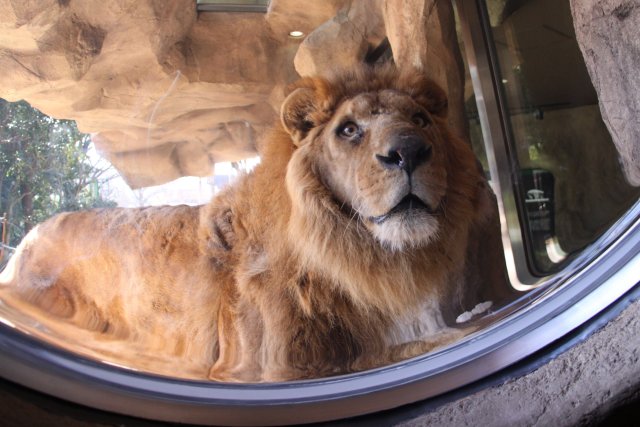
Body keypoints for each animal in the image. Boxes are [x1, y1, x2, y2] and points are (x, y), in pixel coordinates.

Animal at [1, 64, 510, 382]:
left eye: (420, 120)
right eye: (348, 130)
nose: (409, 151)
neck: (359, 259)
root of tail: (25, 240)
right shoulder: (272, 366)